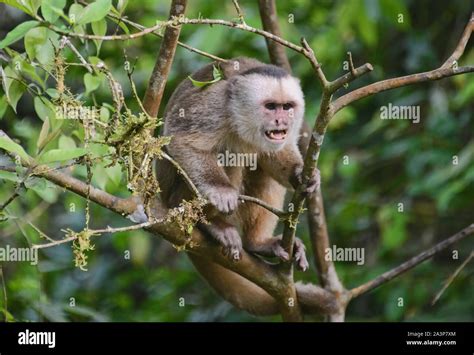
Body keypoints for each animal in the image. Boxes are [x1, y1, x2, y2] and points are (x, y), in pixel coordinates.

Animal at [157, 58, 320, 318]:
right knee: (228, 154)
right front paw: (220, 192)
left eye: (287, 107)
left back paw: (258, 242)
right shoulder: (215, 106)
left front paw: (302, 176)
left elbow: (279, 153)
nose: (282, 121)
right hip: (173, 197)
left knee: (260, 161)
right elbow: (183, 141)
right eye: (271, 106)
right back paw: (211, 224)